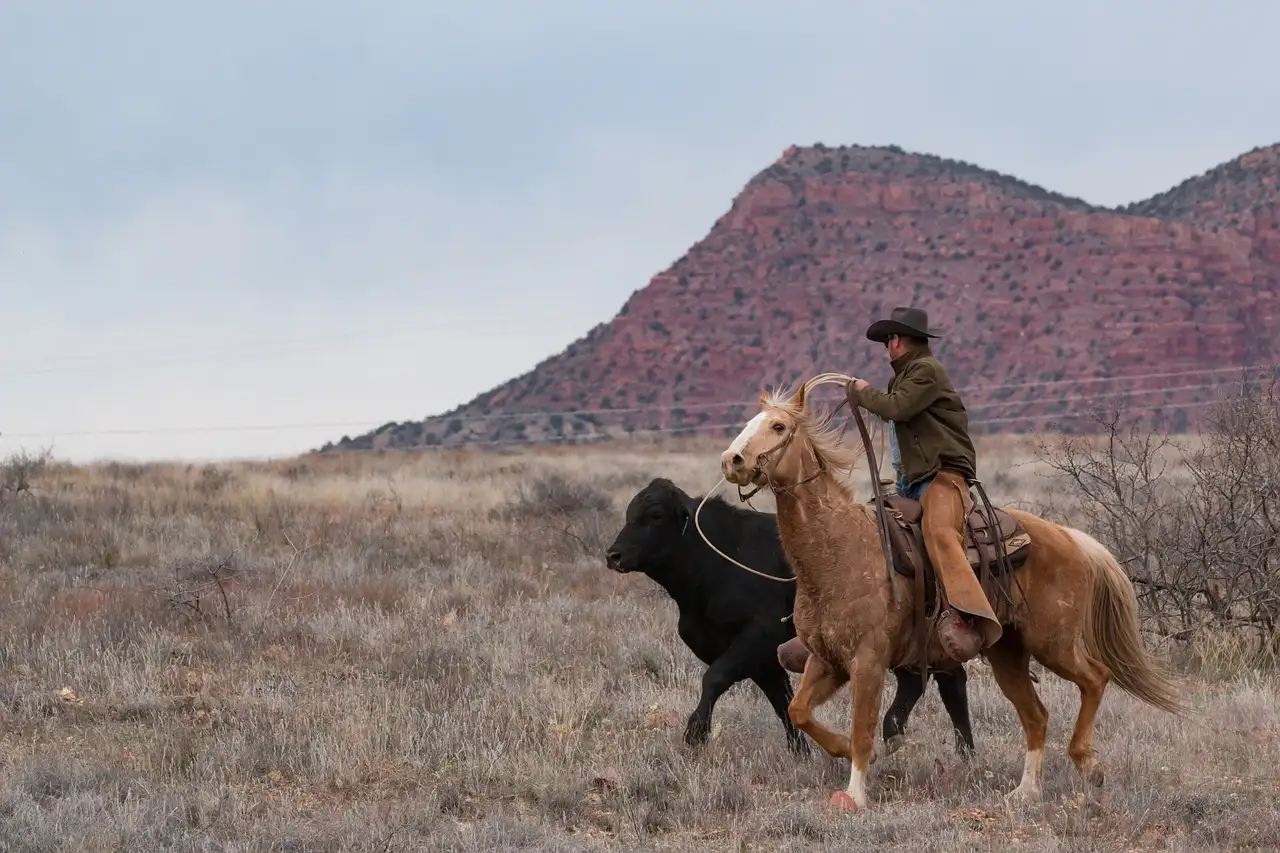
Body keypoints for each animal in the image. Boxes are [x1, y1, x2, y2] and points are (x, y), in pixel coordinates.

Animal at [605, 477, 975, 757]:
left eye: (655, 515)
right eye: (629, 513)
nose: (614, 555)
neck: (718, 563)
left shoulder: (757, 637)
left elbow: (715, 677)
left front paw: (696, 732)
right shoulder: (763, 660)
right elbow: (781, 702)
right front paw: (800, 753)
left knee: (950, 682)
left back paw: (962, 751)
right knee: (920, 681)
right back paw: (902, 736)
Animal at [717, 379, 1187, 812]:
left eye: (778, 426)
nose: (732, 460)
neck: (838, 552)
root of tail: (1071, 538)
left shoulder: (868, 661)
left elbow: (862, 729)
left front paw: (855, 794)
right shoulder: (826, 660)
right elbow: (800, 711)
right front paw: (843, 751)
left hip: (1052, 643)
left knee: (1095, 677)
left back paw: (1088, 762)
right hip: (1007, 654)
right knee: (1036, 716)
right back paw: (1026, 792)